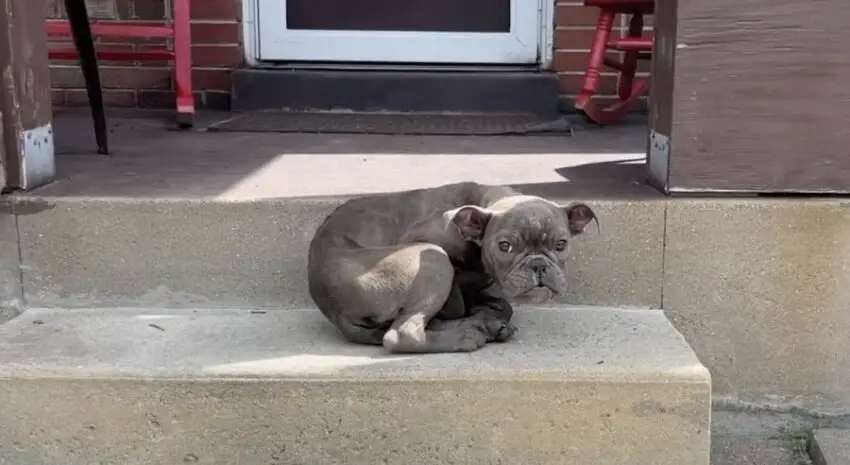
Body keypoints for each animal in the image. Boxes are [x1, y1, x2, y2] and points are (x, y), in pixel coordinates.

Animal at [306, 181, 596, 352]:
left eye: (561, 244)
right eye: (505, 246)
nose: (538, 265)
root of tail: (335, 311)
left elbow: (502, 305)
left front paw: (487, 312)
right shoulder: (421, 239)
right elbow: (460, 301)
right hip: (432, 259)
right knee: (401, 333)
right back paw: (467, 336)